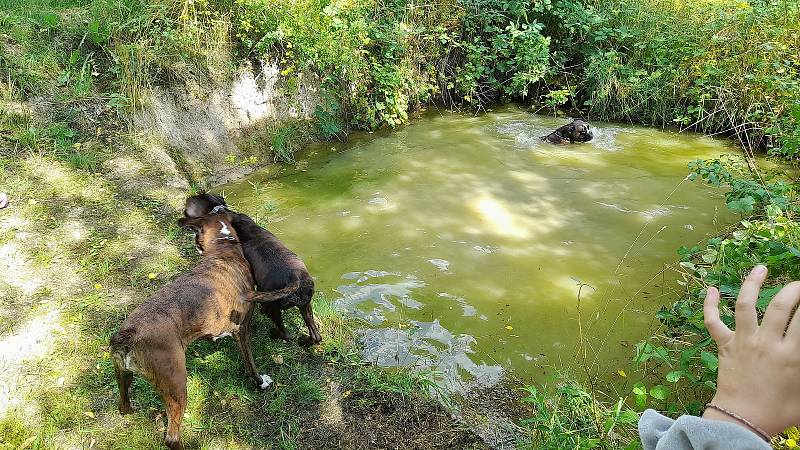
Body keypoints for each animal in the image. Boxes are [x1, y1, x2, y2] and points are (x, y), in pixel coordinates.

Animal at [111, 214, 276, 450]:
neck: (224, 250)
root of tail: (129, 335)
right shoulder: (242, 330)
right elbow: (250, 364)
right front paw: (260, 381)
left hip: (124, 376)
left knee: (124, 406)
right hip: (178, 384)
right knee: (172, 436)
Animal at [184, 192, 322, 344]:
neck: (219, 212)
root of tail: (294, 278)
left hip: (272, 307)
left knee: (286, 334)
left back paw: (274, 333)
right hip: (305, 305)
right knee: (316, 336)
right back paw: (305, 341)